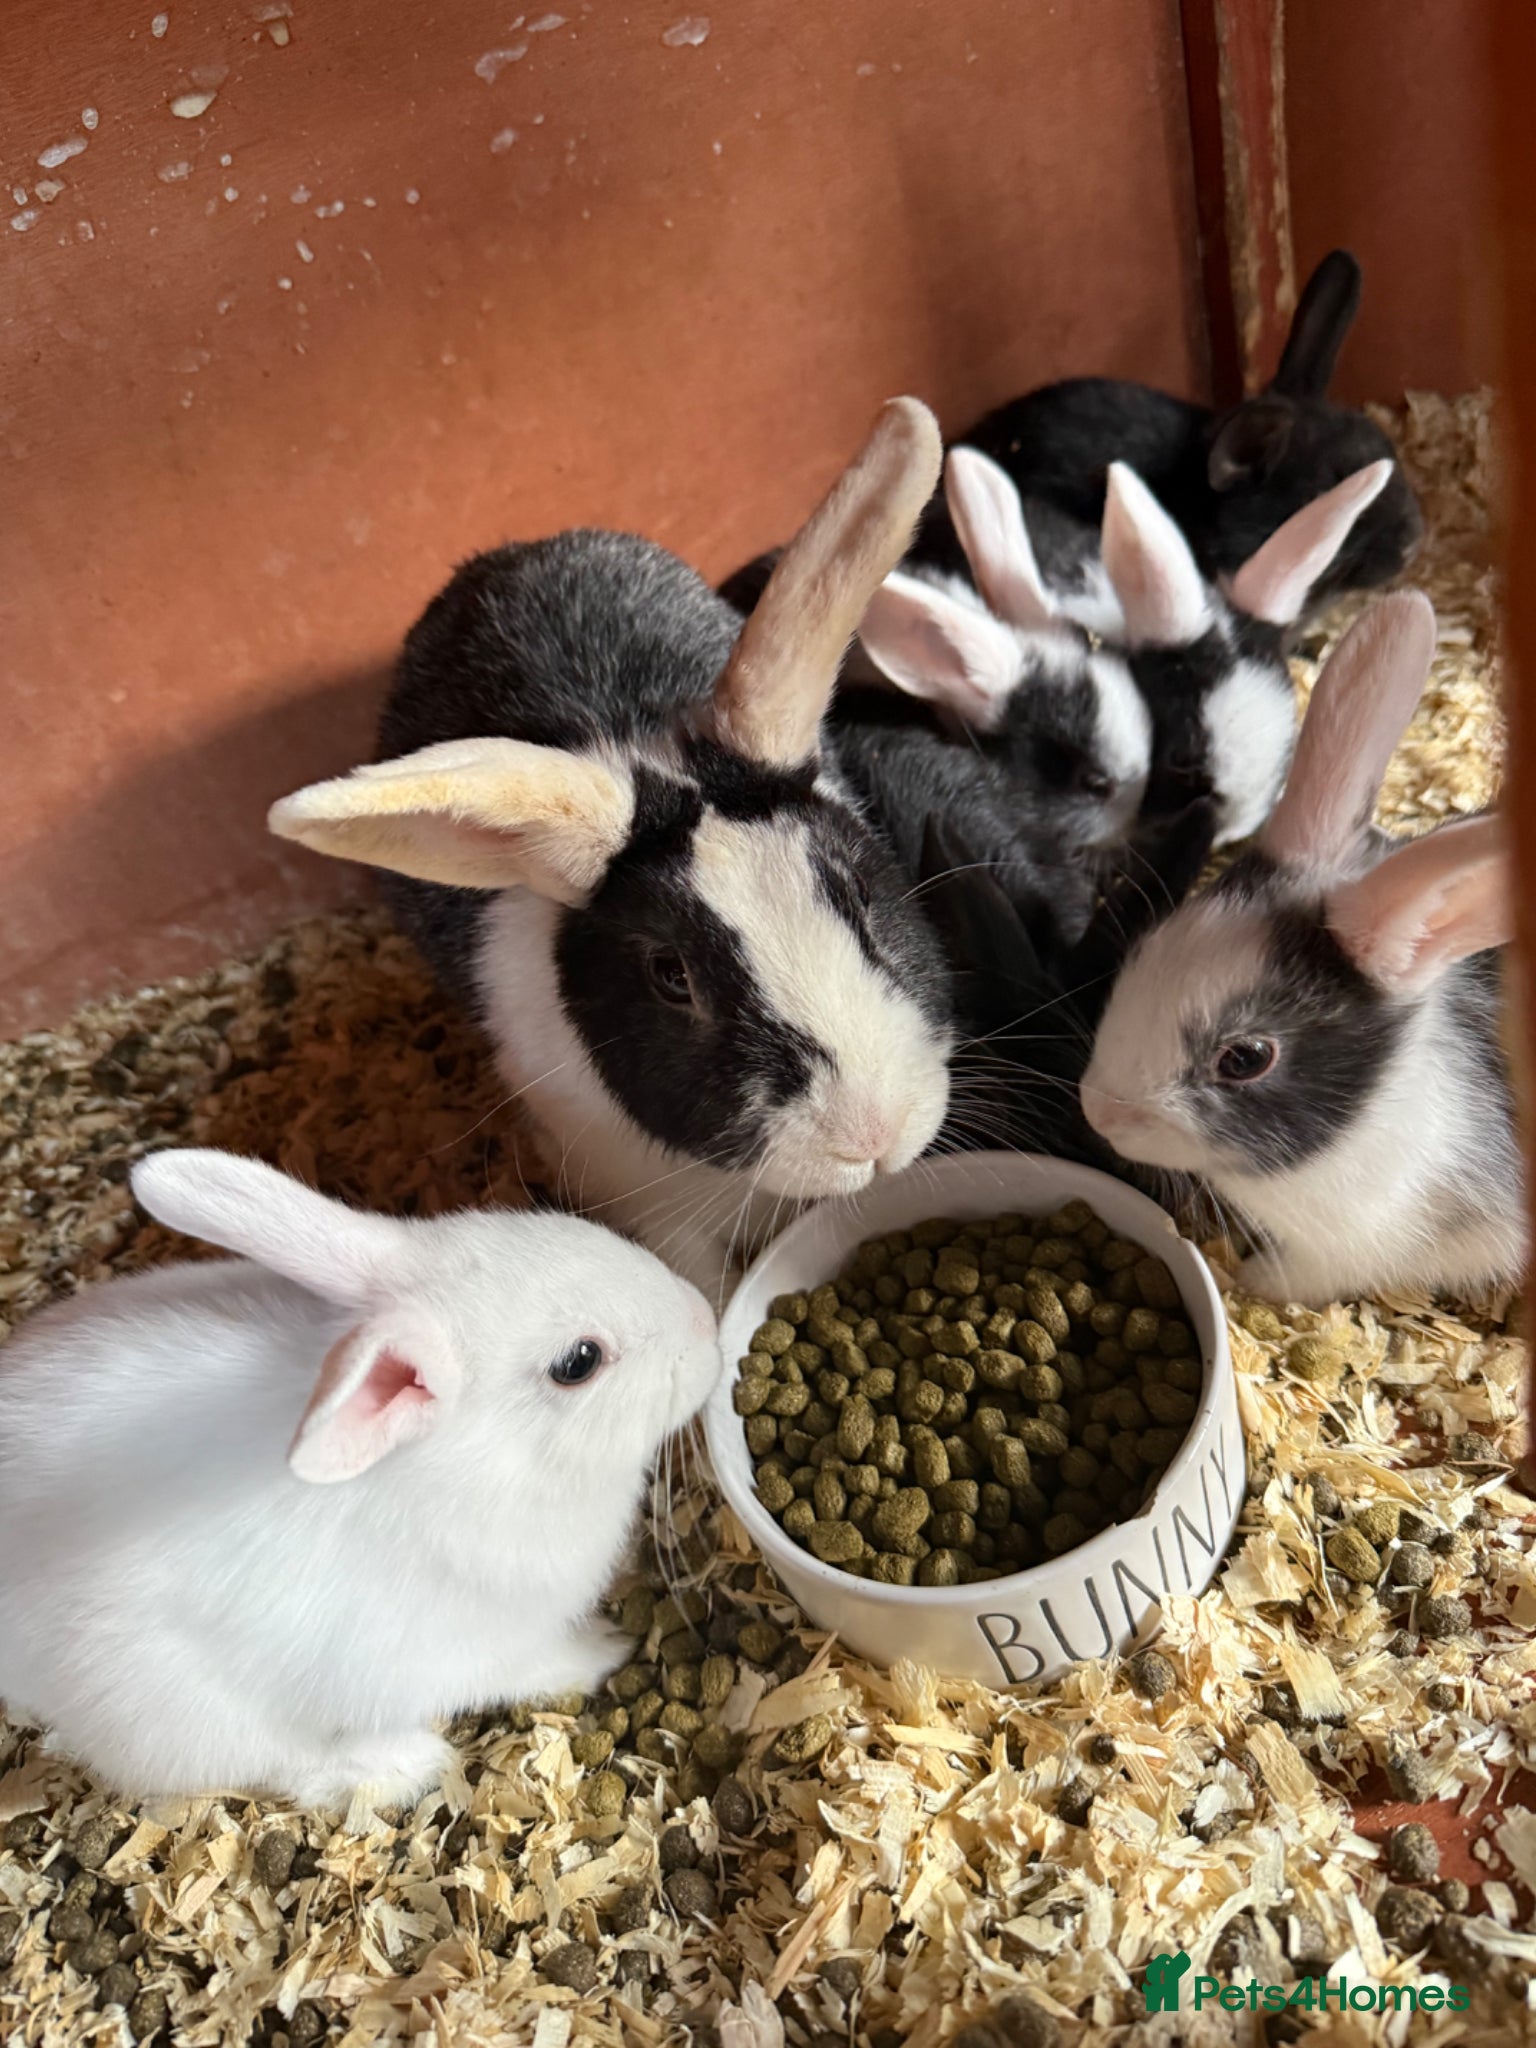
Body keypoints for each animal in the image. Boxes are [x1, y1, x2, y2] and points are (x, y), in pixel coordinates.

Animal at [0, 1149, 721, 1809]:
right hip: (176, 1712)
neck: (475, 1465)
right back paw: (401, 1765)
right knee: (269, 1762)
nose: (706, 1324)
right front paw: (604, 1649)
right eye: (579, 1362)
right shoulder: (481, 1647)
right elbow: (538, 1664)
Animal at [1079, 591, 1523, 1307]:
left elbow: (1306, 1274)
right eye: (1147, 947)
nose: (1098, 1111)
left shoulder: (1373, 1247)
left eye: (1245, 1059)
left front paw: (1250, 1280)